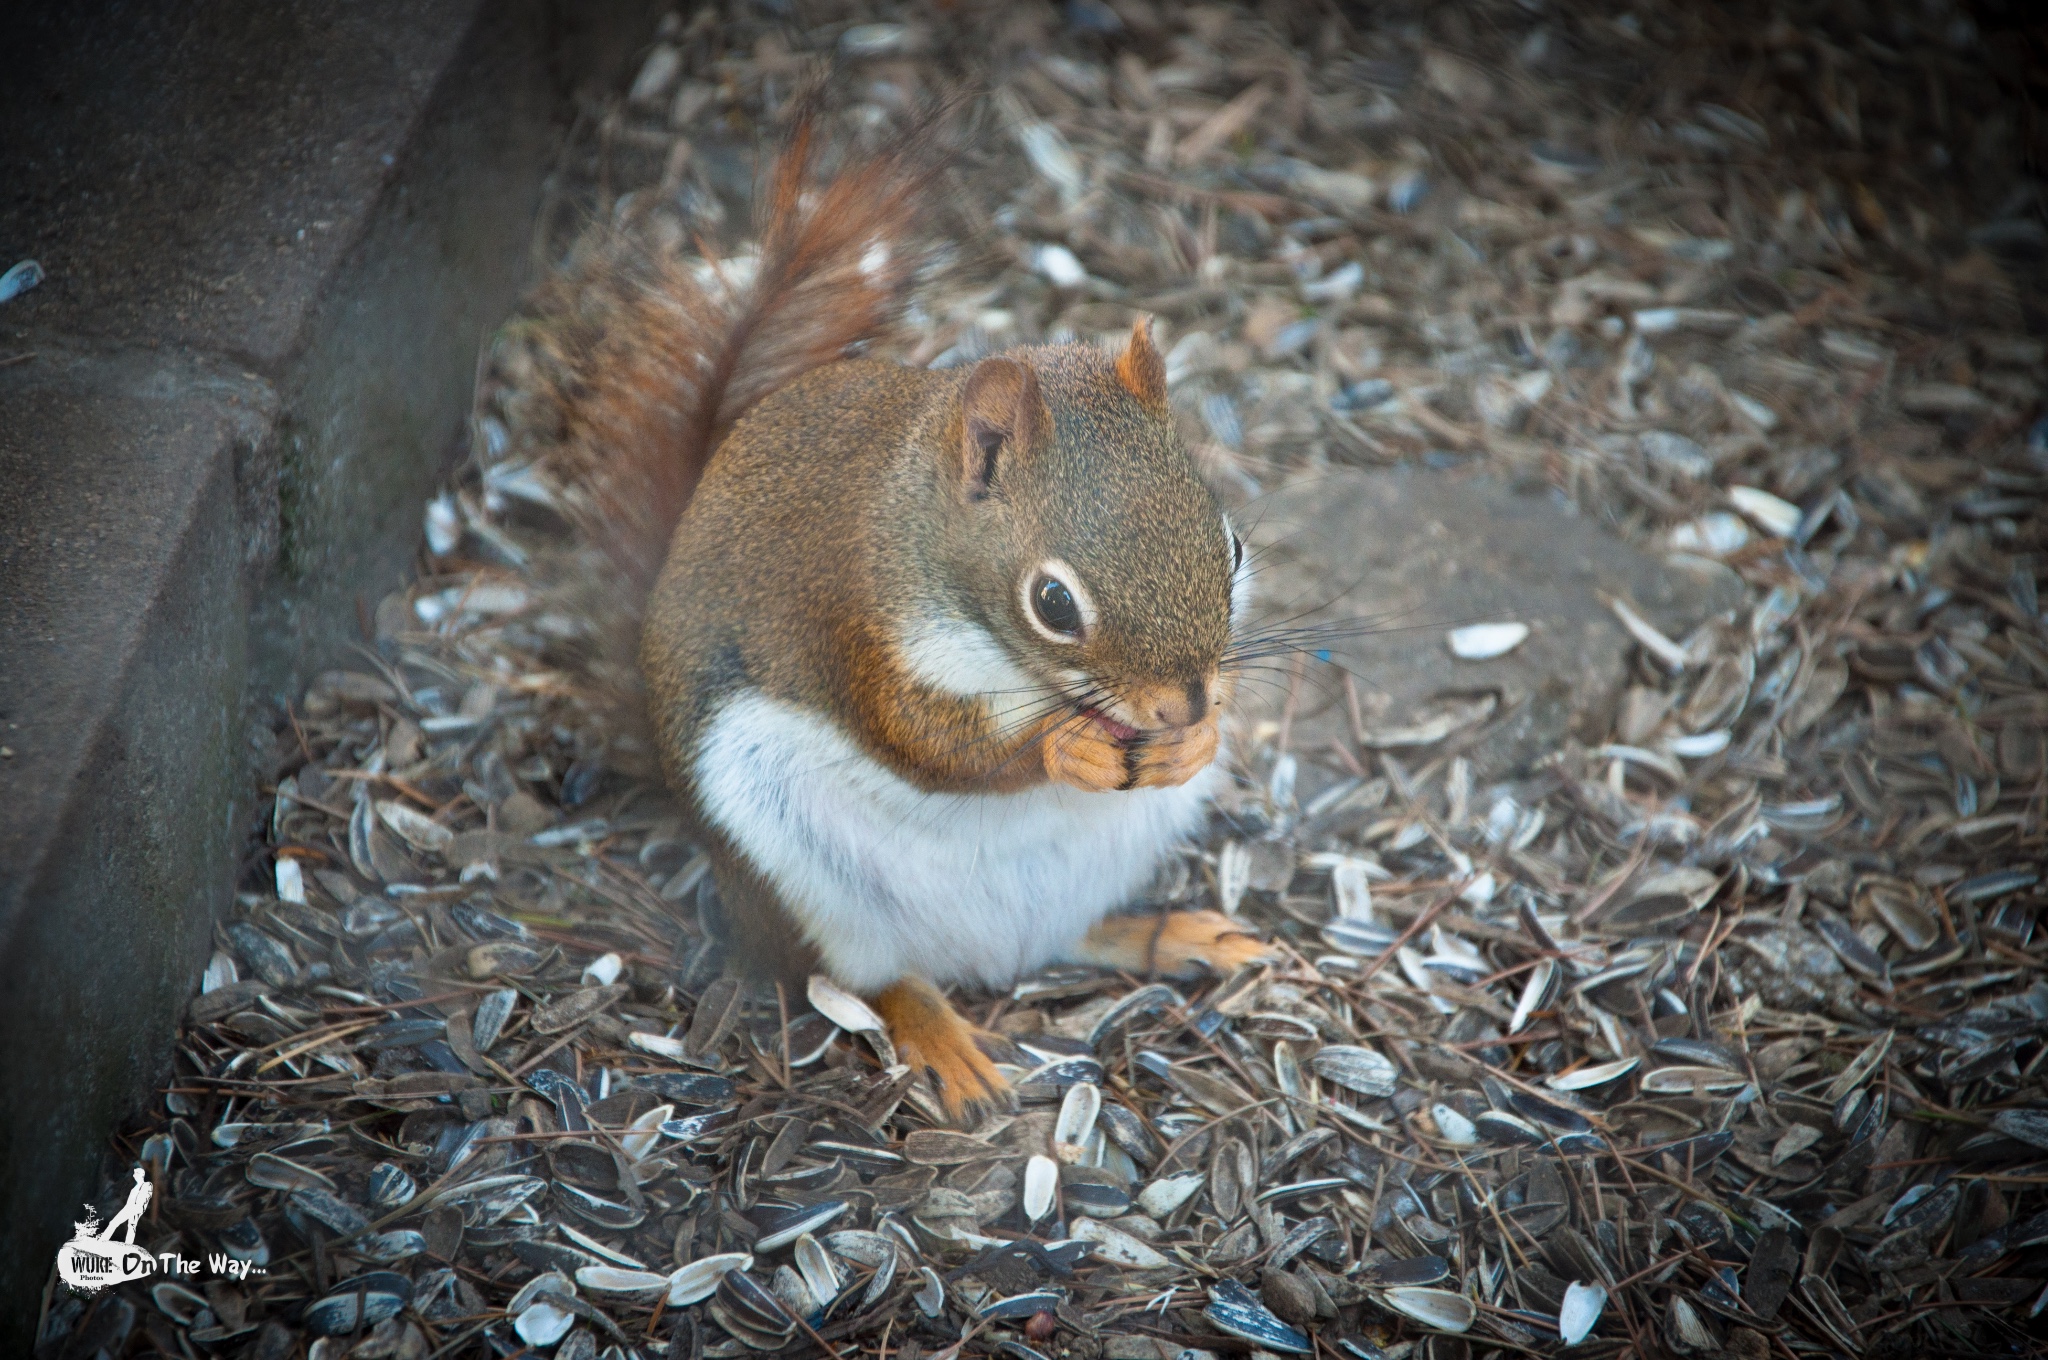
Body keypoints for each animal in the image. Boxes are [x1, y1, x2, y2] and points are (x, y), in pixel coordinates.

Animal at [532, 100, 1261, 1122]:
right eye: (1052, 602)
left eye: (1229, 544)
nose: (1182, 704)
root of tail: (986, 951)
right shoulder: (854, 623)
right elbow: (921, 741)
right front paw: (1062, 748)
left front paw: (1199, 732)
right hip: (792, 864)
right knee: (862, 980)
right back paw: (942, 1041)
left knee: (1065, 935)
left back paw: (1171, 935)